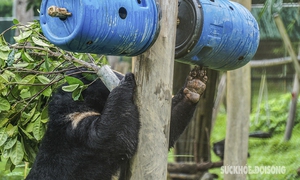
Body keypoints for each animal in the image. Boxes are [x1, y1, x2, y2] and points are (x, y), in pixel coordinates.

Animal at [25, 66, 207, 180]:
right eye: (114, 73)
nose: (123, 74)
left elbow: (166, 126)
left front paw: (194, 85)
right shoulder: (75, 132)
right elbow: (111, 135)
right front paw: (126, 82)